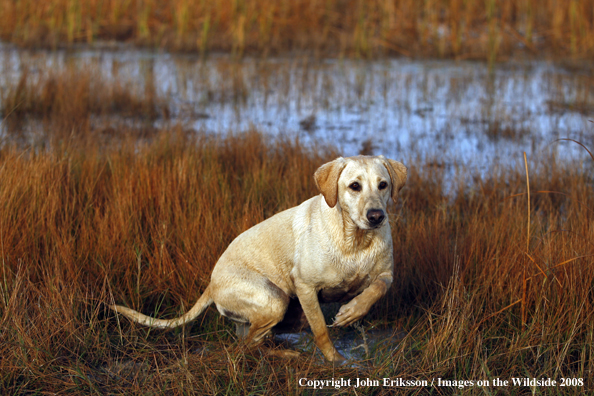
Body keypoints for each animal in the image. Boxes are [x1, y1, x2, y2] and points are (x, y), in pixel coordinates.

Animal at [111, 155, 404, 362]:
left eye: (383, 185)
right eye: (354, 186)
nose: (376, 216)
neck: (355, 241)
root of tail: (211, 285)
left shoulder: (386, 274)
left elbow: (376, 288)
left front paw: (352, 311)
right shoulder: (306, 287)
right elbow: (321, 330)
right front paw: (337, 362)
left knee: (250, 341)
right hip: (275, 300)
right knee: (248, 345)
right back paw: (287, 354)